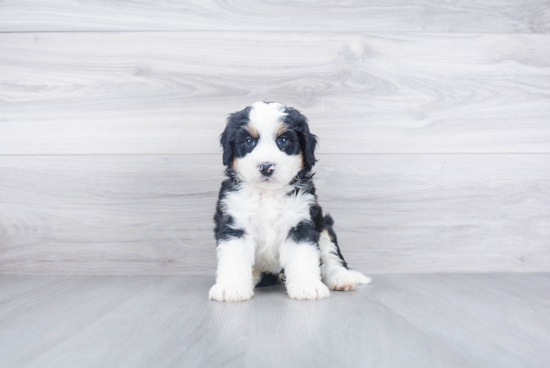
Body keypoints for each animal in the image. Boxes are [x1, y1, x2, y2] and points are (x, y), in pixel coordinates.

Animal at [209, 101, 374, 302]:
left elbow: (302, 257)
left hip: (324, 227)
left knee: (331, 258)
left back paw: (342, 278)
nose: (266, 167)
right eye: (249, 142)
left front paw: (307, 286)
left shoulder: (301, 224)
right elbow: (234, 258)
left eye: (283, 141)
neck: (268, 195)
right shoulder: (235, 224)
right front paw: (231, 287)